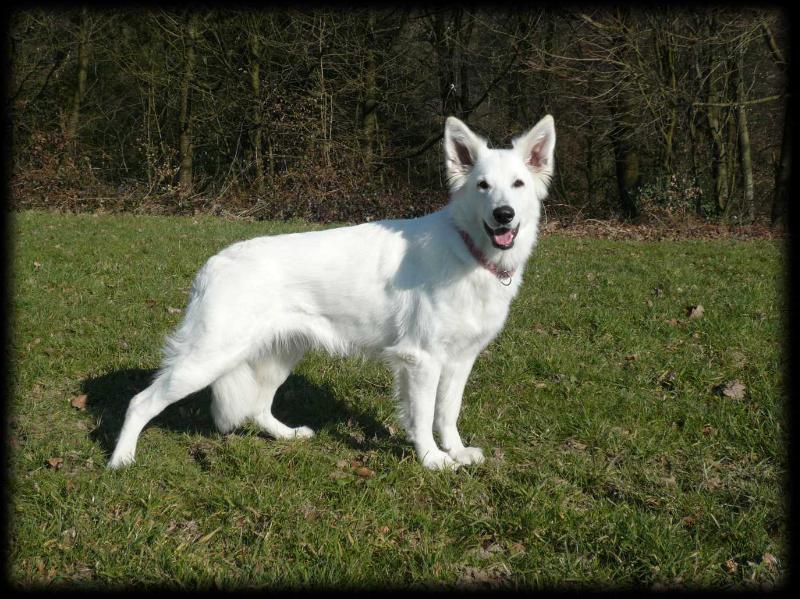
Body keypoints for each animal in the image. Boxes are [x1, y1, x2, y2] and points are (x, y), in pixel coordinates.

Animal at [109, 115, 552, 472]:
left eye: (517, 184)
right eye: (482, 186)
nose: (504, 215)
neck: (467, 248)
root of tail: (216, 262)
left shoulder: (460, 361)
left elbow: (447, 413)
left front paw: (456, 452)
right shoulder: (422, 360)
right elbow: (424, 416)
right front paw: (431, 460)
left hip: (280, 354)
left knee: (257, 406)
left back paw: (287, 436)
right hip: (208, 358)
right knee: (139, 402)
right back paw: (121, 460)